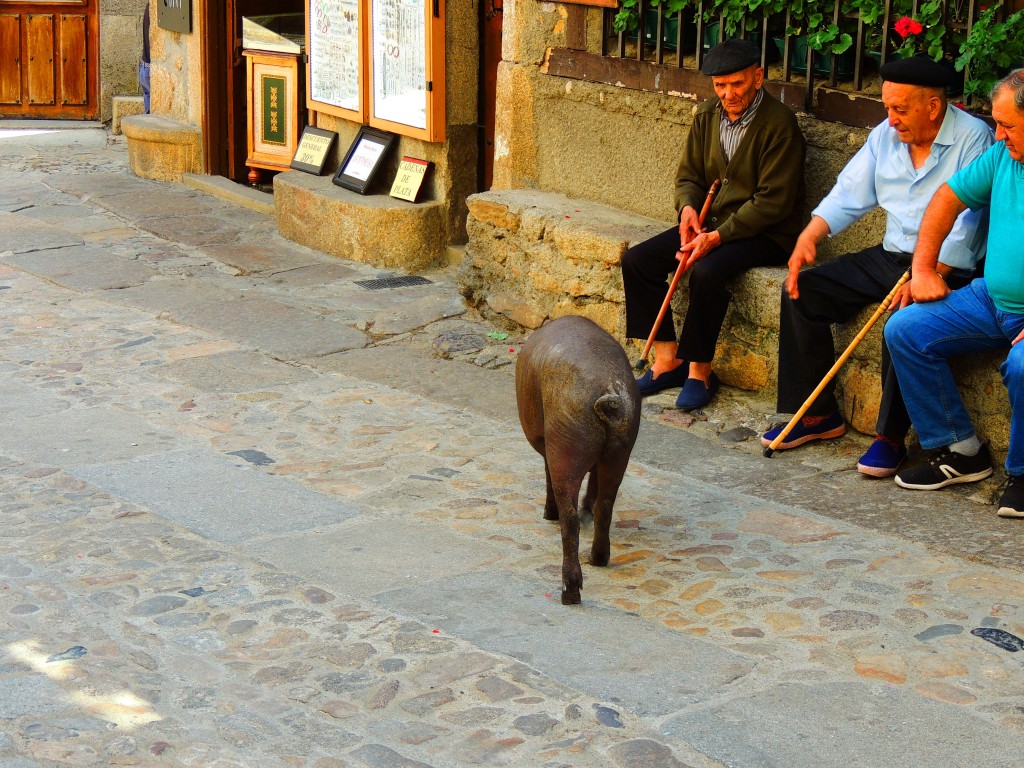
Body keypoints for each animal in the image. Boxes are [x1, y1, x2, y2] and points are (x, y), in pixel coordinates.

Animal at [516, 315, 643, 606]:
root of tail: (608, 392)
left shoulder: (548, 444)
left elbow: (547, 475)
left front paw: (547, 514)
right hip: (620, 450)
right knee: (605, 506)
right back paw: (598, 559)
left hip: (566, 447)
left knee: (570, 519)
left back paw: (570, 593)